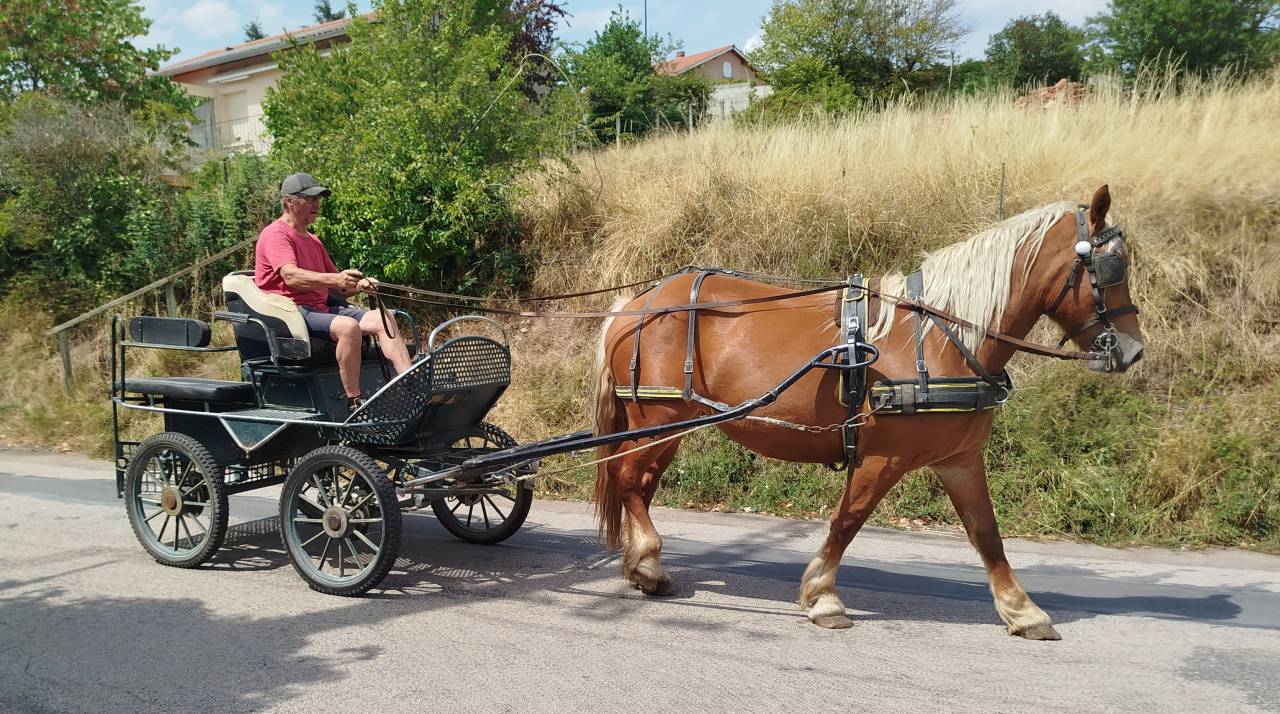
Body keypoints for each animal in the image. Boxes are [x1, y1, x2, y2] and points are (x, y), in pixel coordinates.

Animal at [590, 185, 1144, 640]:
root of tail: (636, 304)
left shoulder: (959, 458)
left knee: (638, 484)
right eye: (1113, 267)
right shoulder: (882, 458)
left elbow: (986, 533)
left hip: (668, 426)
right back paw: (649, 564)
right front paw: (822, 597)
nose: (1133, 351)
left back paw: (640, 565)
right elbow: (848, 520)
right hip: (659, 421)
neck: (939, 338)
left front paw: (1023, 611)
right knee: (627, 477)